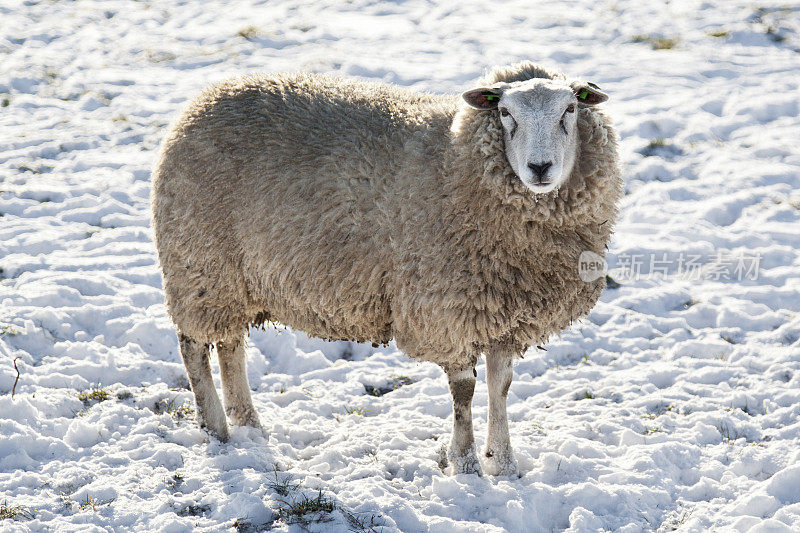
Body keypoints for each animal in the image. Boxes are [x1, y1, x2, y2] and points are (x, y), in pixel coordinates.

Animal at [152, 60, 624, 476]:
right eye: (506, 113)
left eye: (570, 110)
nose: (539, 167)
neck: (456, 165)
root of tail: (201, 102)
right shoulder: (445, 309)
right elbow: (464, 391)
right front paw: (466, 464)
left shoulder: (503, 314)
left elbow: (500, 385)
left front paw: (504, 464)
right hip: (199, 265)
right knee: (194, 347)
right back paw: (218, 431)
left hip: (233, 281)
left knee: (229, 345)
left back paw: (248, 424)